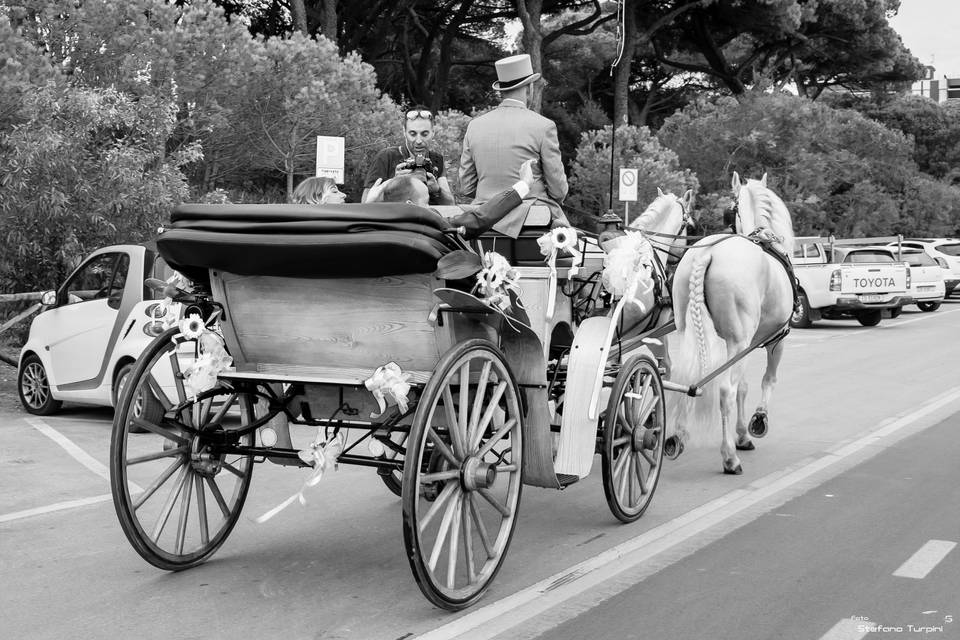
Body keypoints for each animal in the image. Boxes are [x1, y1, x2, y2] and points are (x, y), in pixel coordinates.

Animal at [668, 172, 796, 472]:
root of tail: (707, 253)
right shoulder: (776, 340)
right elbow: (767, 380)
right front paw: (757, 421)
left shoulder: (744, 346)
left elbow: (744, 388)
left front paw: (742, 434)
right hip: (740, 342)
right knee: (725, 390)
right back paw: (729, 457)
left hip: (688, 333)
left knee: (686, 377)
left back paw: (677, 436)